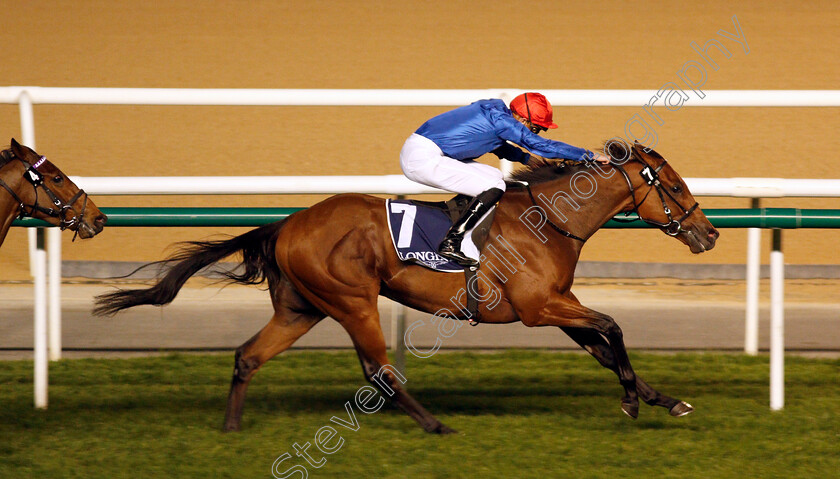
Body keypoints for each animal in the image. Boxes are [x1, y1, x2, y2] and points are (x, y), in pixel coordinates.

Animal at [95, 142, 720, 436]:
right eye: (672, 184)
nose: (709, 232)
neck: (550, 218)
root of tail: (288, 222)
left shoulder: (556, 306)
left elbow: (608, 346)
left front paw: (663, 399)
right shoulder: (540, 307)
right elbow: (614, 327)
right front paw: (632, 401)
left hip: (302, 308)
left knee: (248, 356)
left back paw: (231, 427)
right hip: (352, 301)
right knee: (380, 371)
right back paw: (436, 424)